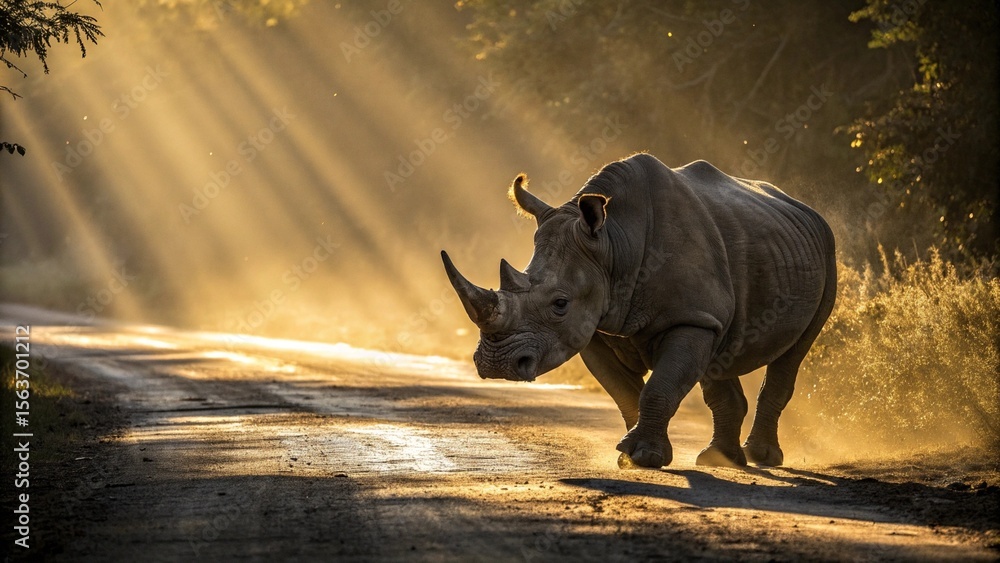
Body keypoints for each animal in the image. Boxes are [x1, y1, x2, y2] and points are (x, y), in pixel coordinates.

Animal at [441, 153, 836, 468]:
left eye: (560, 304)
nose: (496, 364)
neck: (615, 245)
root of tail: (803, 208)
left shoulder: (688, 318)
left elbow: (659, 386)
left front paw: (644, 456)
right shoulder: (596, 330)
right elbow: (625, 391)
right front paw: (629, 455)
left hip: (827, 254)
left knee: (793, 354)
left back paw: (762, 458)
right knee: (718, 354)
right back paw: (719, 460)